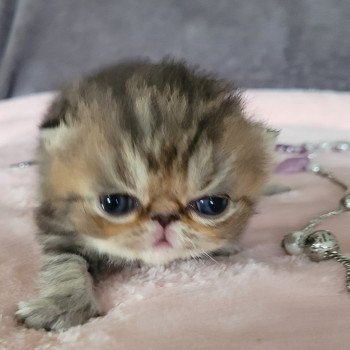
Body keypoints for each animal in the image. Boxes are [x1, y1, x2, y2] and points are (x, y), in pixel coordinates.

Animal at [16, 60, 274, 330]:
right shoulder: (57, 224)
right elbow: (64, 263)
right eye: (114, 203)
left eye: (213, 205)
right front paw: (62, 306)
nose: (164, 217)